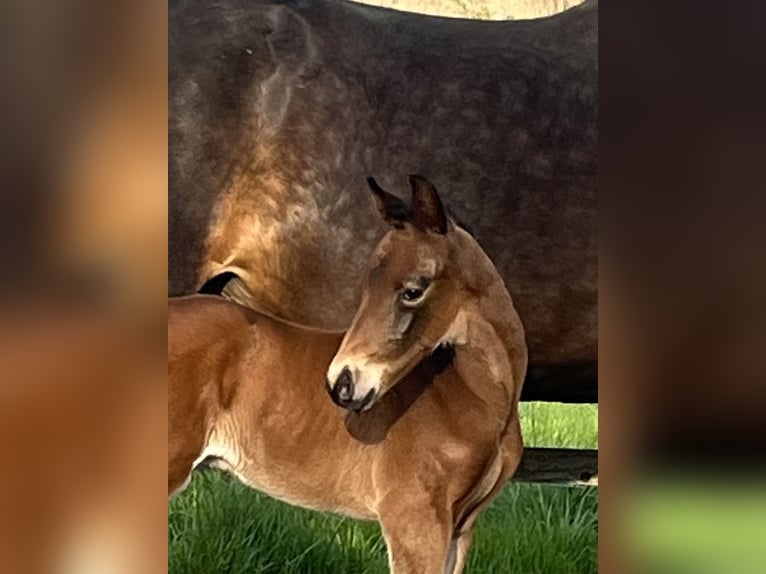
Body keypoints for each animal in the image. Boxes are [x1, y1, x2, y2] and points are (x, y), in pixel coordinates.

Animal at [169, 175, 527, 574]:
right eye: (366, 285)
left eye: (413, 290)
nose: (341, 383)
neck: (477, 398)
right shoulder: (415, 521)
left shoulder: (461, 529)